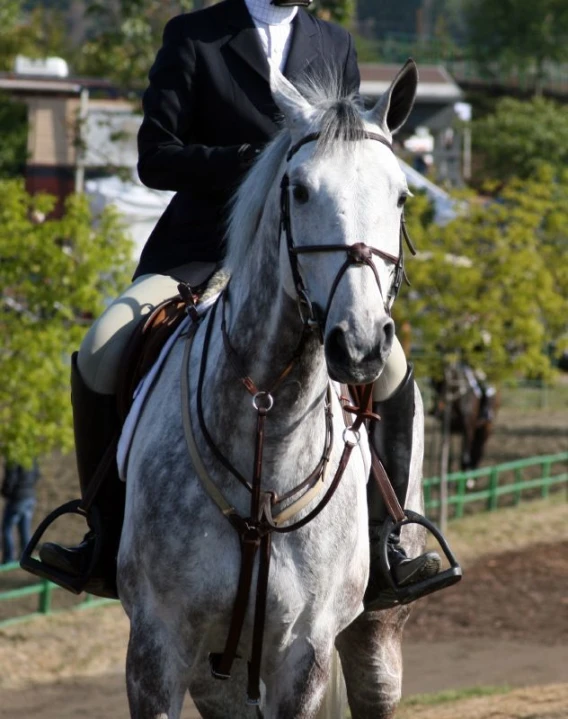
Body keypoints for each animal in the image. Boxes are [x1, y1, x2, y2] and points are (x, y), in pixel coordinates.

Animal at [118, 59, 426, 716]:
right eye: (300, 190)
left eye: (401, 196)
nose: (360, 344)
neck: (269, 426)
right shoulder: (157, 644)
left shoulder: (304, 652)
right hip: (220, 676)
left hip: (374, 637)